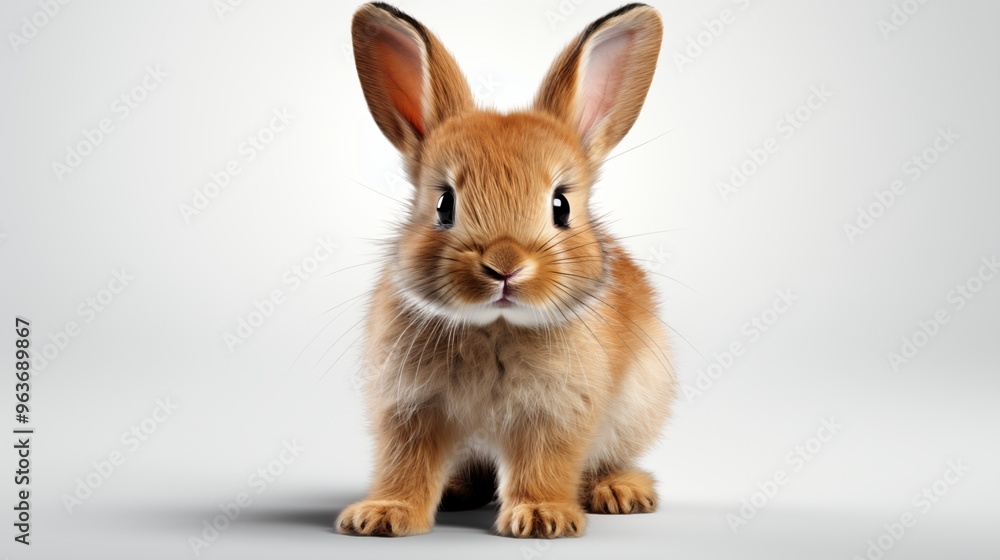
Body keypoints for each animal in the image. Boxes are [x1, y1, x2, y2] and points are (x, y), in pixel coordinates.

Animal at [337, 2, 675, 538]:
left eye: (561, 206)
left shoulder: (558, 411)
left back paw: (621, 492)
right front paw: (383, 515)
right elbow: (405, 462)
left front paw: (540, 518)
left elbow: (545, 462)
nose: (505, 266)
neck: (494, 325)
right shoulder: (409, 406)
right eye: (444, 204)